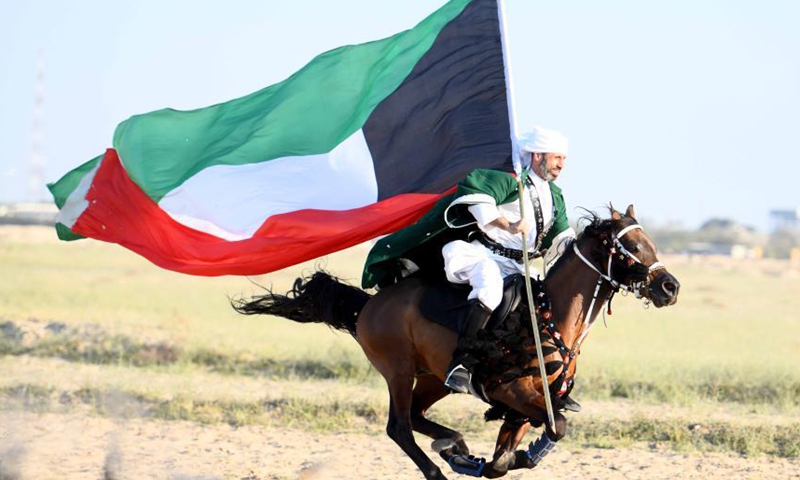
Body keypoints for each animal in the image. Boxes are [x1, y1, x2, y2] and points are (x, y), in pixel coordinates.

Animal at [234, 204, 680, 478]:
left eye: (652, 243)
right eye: (631, 246)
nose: (670, 287)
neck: (548, 318)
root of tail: (369, 304)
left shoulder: (525, 406)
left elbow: (511, 456)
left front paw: (490, 458)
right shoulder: (514, 393)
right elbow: (555, 429)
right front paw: (497, 456)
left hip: (434, 378)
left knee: (416, 416)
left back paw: (455, 445)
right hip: (398, 371)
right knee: (399, 426)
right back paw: (440, 464)